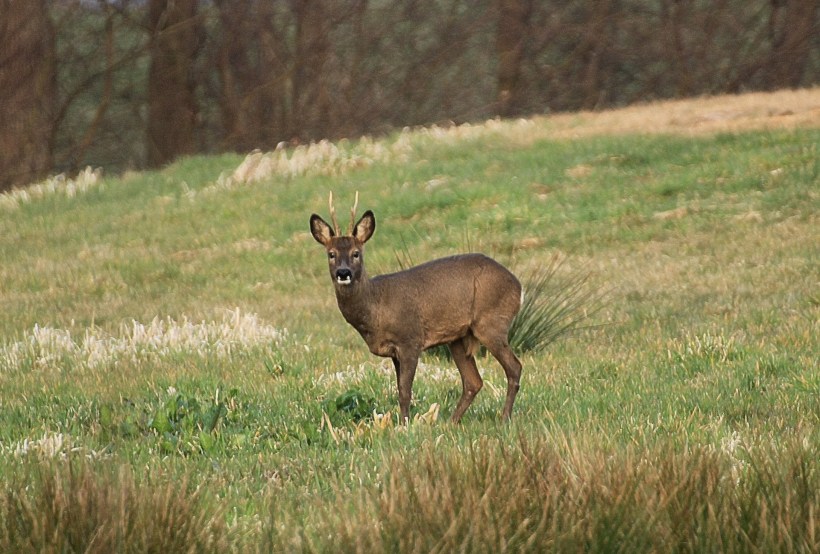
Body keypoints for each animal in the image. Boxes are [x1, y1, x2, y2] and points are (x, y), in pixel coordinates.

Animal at [310, 192, 523, 424]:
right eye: (331, 254)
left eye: (356, 253)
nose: (343, 272)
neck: (376, 307)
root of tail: (518, 286)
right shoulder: (394, 351)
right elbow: (399, 388)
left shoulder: (410, 339)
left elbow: (405, 391)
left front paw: (404, 424)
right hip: (458, 337)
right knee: (473, 382)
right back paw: (450, 423)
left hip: (491, 322)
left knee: (514, 367)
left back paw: (504, 419)